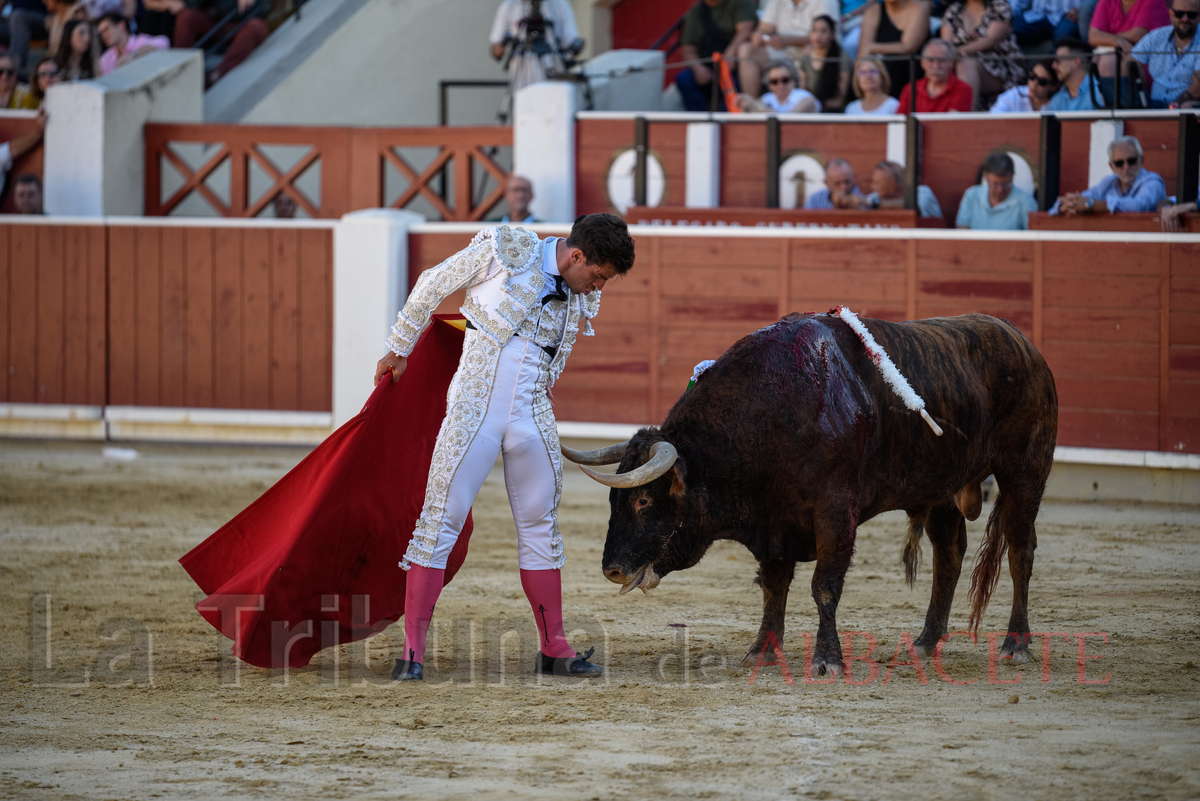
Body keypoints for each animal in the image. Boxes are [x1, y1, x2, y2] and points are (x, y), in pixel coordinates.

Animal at [564, 311, 1060, 676]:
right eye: (615, 502)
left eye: (644, 501)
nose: (611, 569)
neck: (772, 412)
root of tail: (1025, 343)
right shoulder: (774, 521)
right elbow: (773, 586)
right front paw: (761, 651)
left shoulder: (835, 513)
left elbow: (824, 585)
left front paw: (827, 660)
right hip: (942, 490)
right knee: (950, 555)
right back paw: (924, 642)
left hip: (1025, 471)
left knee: (1021, 549)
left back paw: (1016, 644)